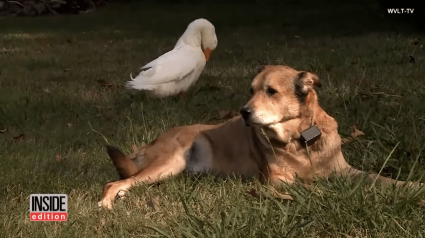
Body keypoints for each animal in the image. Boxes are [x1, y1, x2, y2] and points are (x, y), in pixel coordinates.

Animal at [98, 64, 420, 208]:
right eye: (251, 90)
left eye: (271, 91)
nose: (243, 112)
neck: (300, 140)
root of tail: (148, 144)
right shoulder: (277, 181)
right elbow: (314, 188)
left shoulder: (346, 170)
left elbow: (380, 179)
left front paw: (412, 187)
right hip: (169, 162)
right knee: (116, 181)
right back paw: (108, 202)